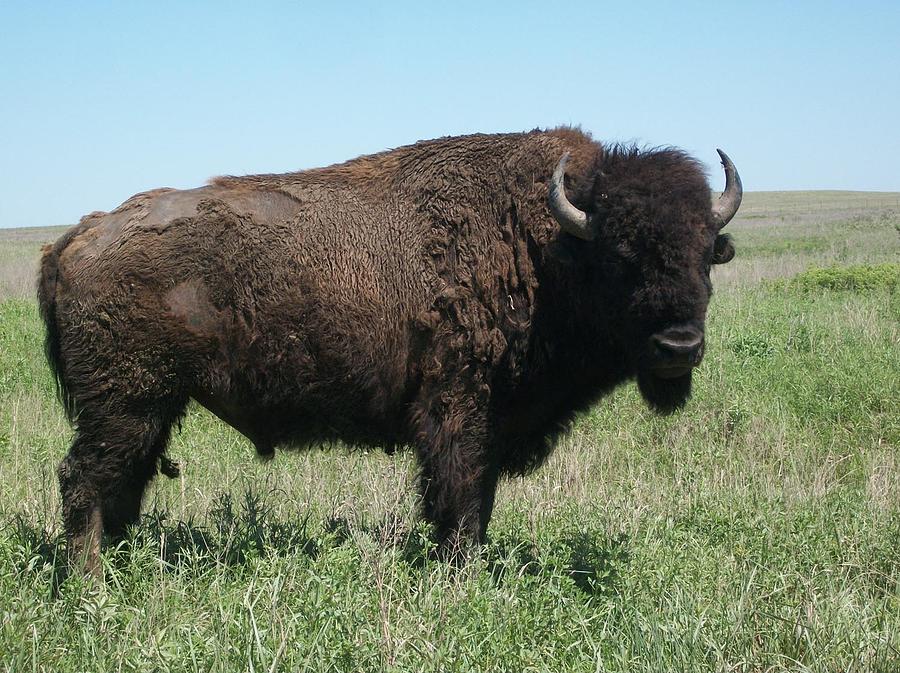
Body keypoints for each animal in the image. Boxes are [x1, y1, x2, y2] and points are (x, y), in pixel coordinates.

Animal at [38, 127, 740, 572]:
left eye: (707, 253)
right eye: (622, 256)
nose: (679, 345)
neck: (545, 248)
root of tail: (82, 233)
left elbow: (478, 499)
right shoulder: (457, 410)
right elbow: (459, 499)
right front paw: (462, 577)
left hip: (149, 408)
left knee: (119, 485)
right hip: (126, 403)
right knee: (83, 480)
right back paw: (89, 585)